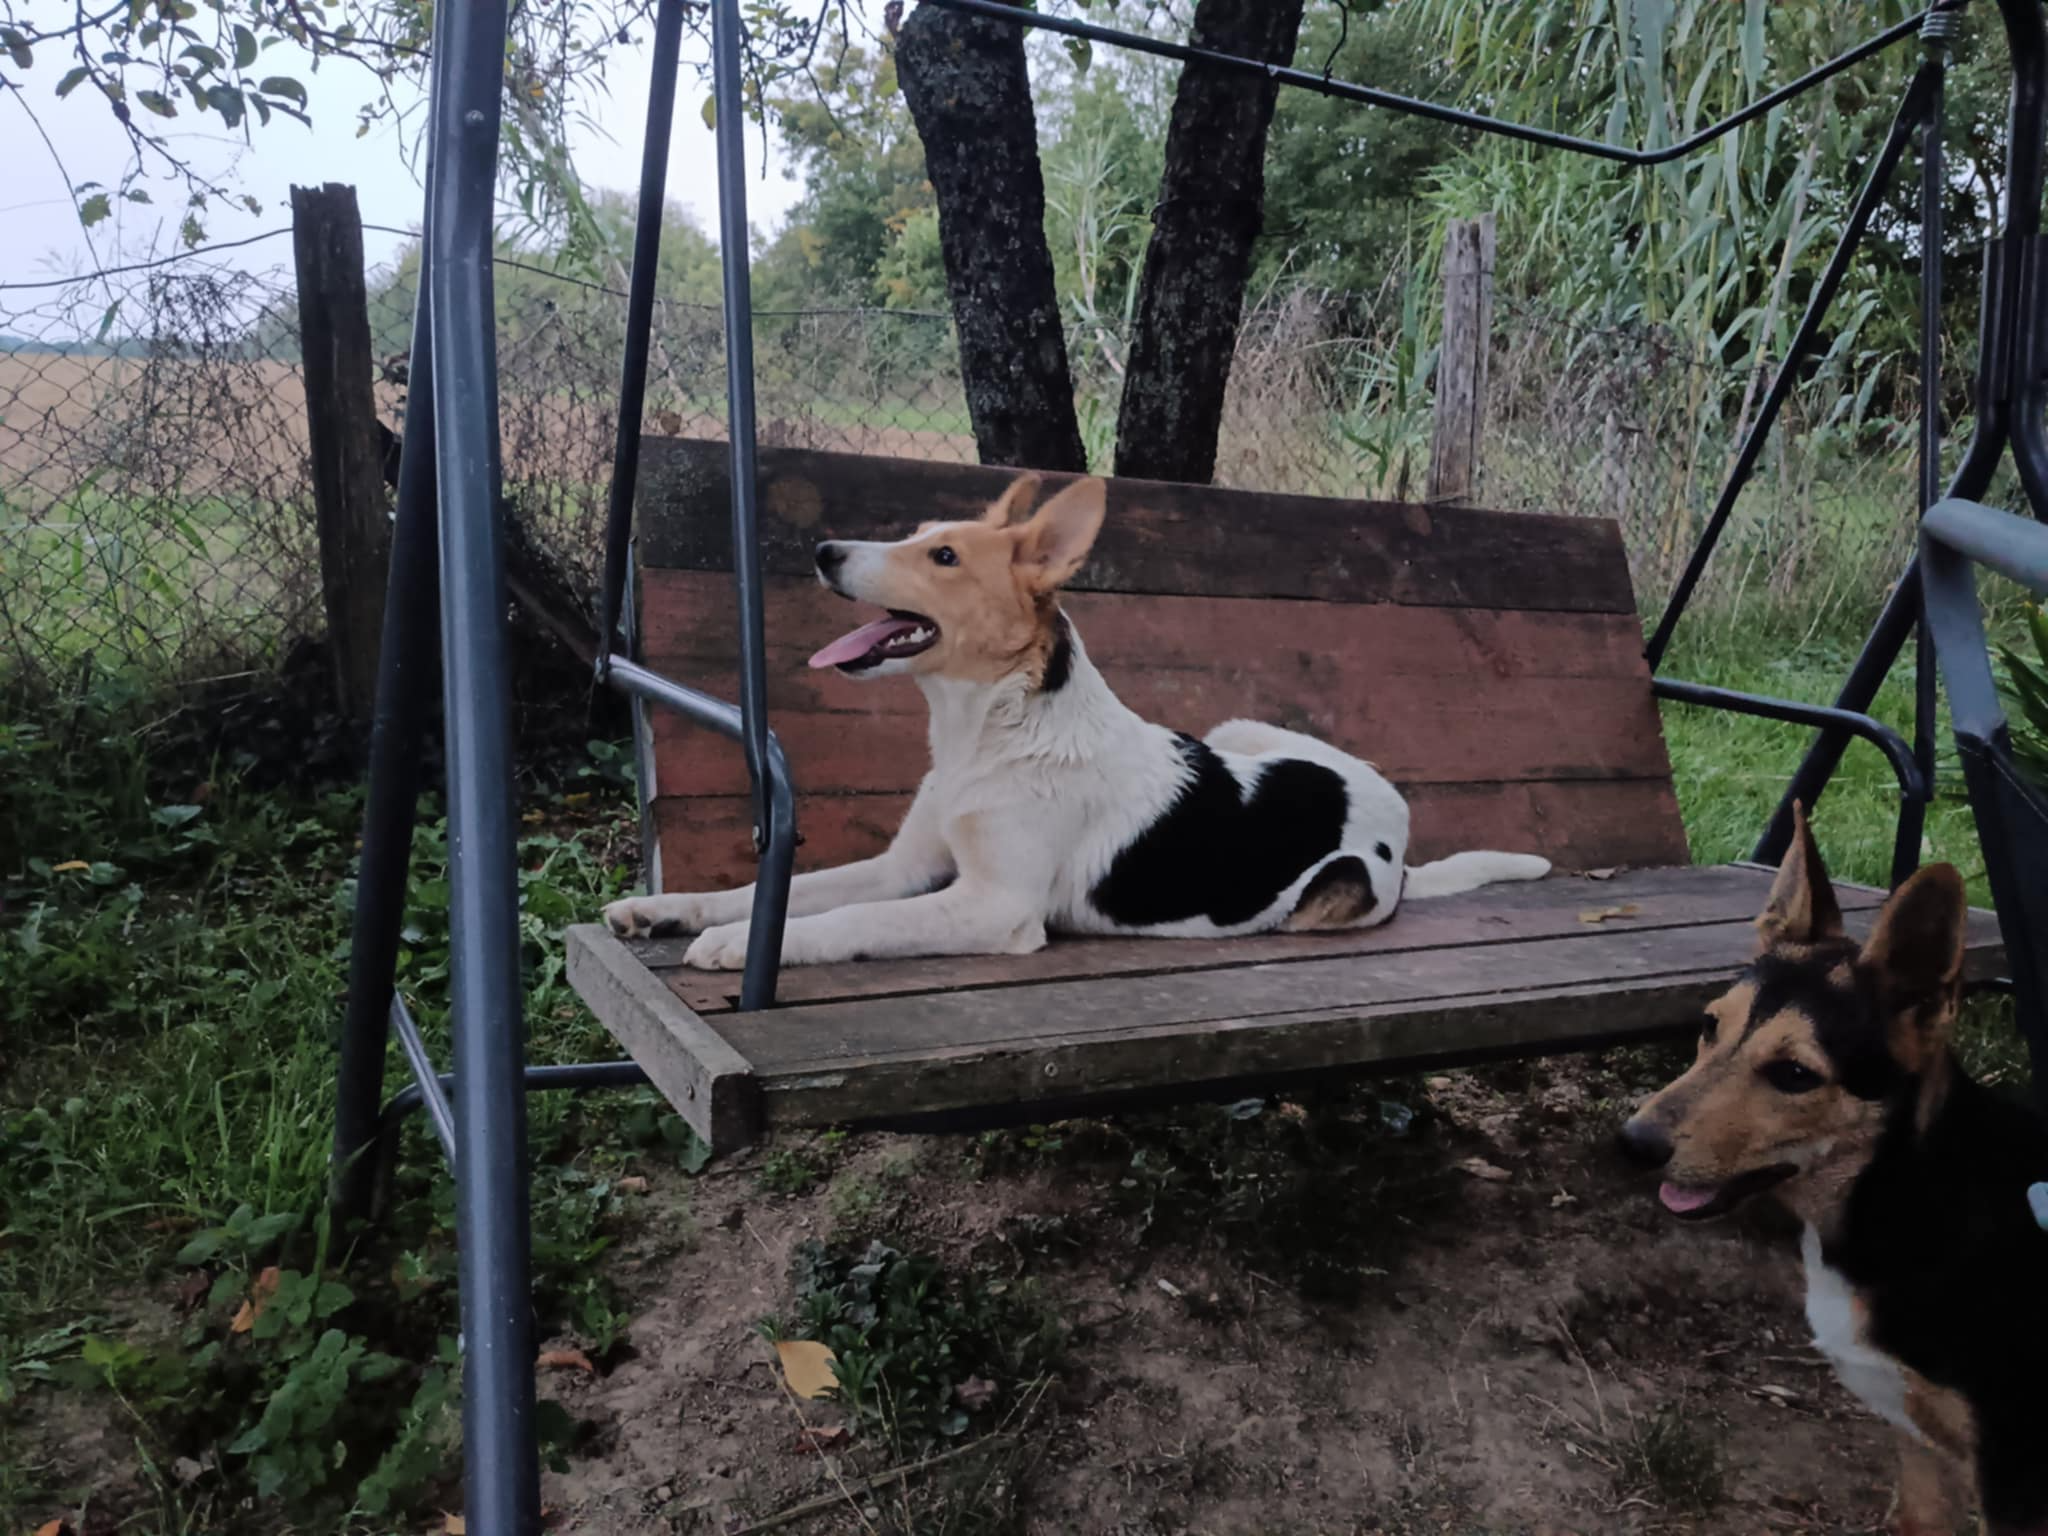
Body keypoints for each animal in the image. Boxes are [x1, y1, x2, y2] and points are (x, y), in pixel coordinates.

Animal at [604, 473, 1551, 970]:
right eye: (918, 533)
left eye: (943, 556)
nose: (824, 551)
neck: (992, 732)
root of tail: (1395, 817)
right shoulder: (903, 867)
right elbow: (785, 890)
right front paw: (673, 910)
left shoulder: (992, 909)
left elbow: (848, 923)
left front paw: (737, 947)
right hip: (1237, 728)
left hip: (1334, 888)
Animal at [1619, 806, 2048, 1535]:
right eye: (1709, 1026)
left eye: (1795, 1074)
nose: (1633, 1143)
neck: (1906, 1189)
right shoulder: (1919, 1447)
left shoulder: (2016, 1481)